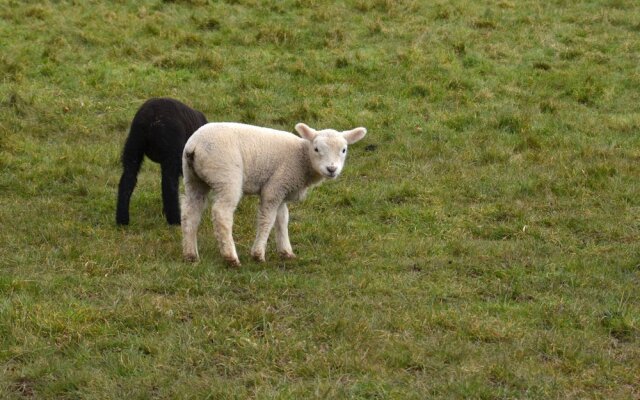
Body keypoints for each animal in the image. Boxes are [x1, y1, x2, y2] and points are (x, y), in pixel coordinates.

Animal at [114, 97, 205, 225]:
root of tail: (150, 118)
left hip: (134, 145)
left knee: (127, 179)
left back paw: (122, 220)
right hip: (171, 150)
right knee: (169, 184)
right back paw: (175, 220)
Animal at [181, 121, 370, 266]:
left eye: (344, 150)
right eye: (316, 149)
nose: (331, 169)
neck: (302, 158)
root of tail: (195, 145)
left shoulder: (282, 190)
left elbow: (282, 220)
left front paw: (286, 252)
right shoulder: (275, 187)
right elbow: (268, 220)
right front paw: (258, 254)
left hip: (193, 178)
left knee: (190, 212)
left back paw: (191, 255)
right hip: (226, 174)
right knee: (222, 213)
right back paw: (231, 257)